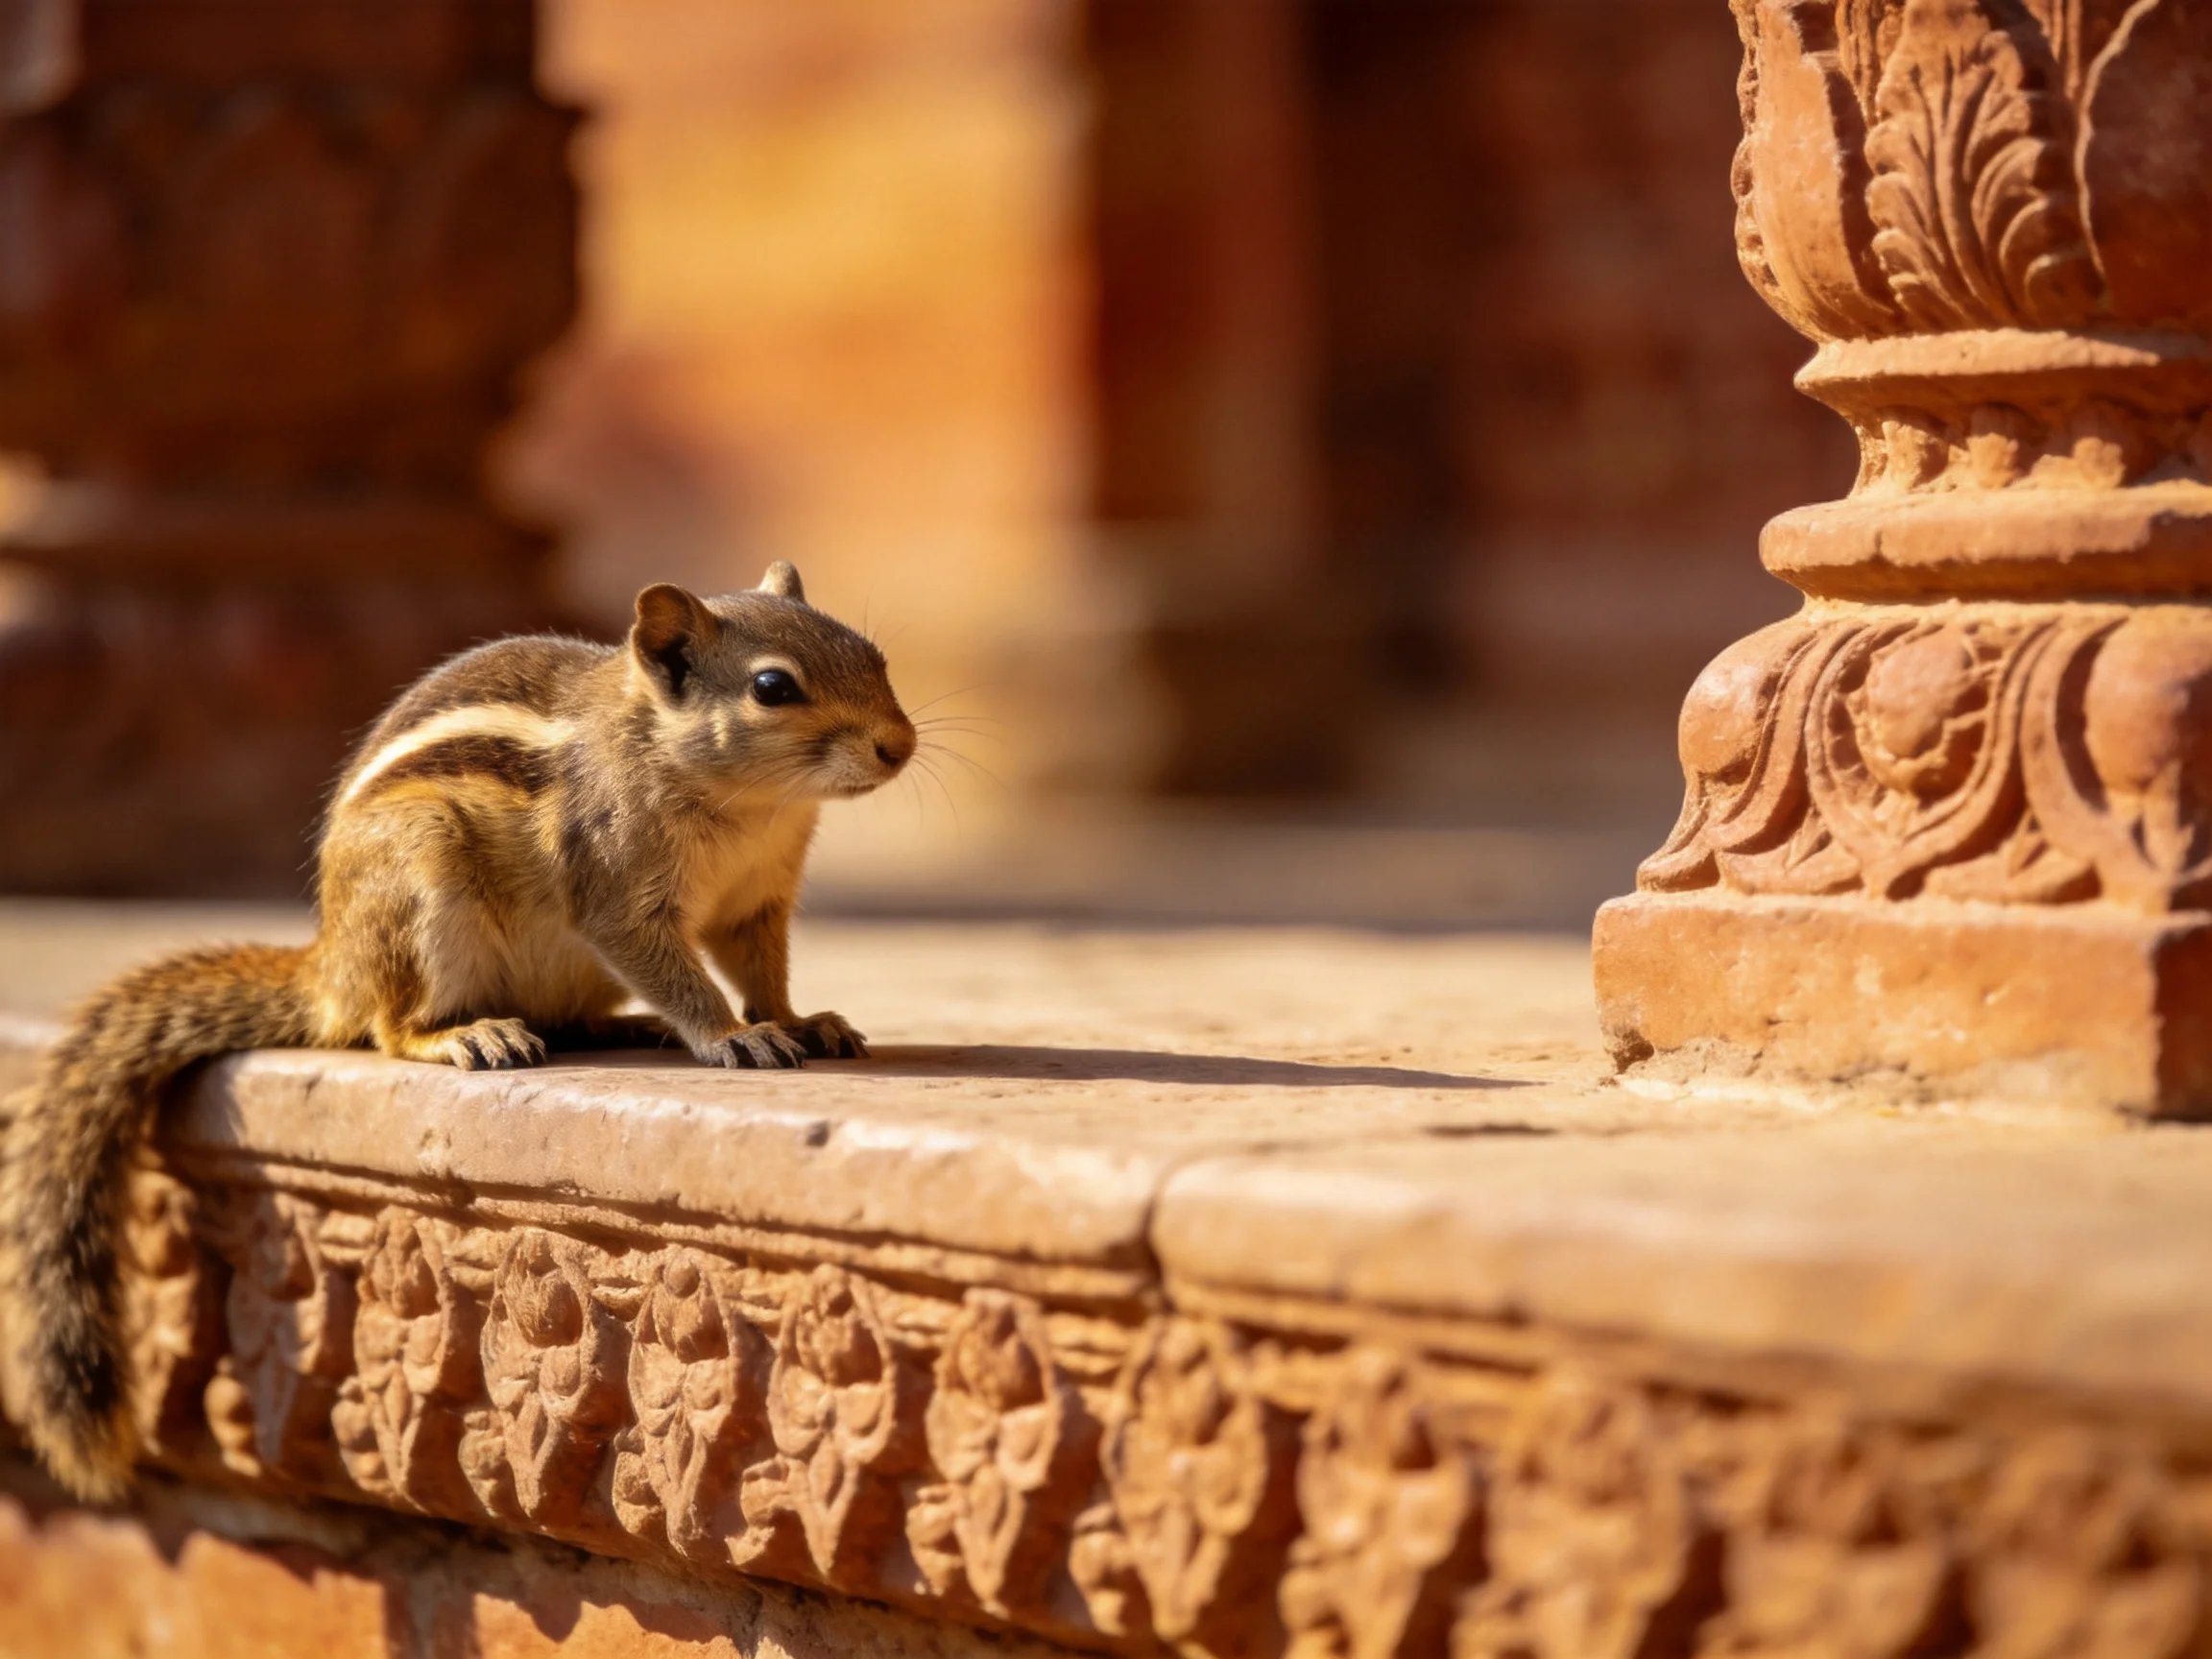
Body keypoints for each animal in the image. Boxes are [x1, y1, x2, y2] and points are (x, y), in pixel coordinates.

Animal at [6, 561, 915, 1501]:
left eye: (874, 655)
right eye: (774, 688)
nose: (900, 745)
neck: (752, 801)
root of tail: (331, 966)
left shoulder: (758, 900)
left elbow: (763, 972)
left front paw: (799, 1022)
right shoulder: (619, 895)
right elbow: (679, 974)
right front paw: (729, 1036)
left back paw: (611, 1026)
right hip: (420, 873)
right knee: (388, 1028)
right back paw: (467, 1037)